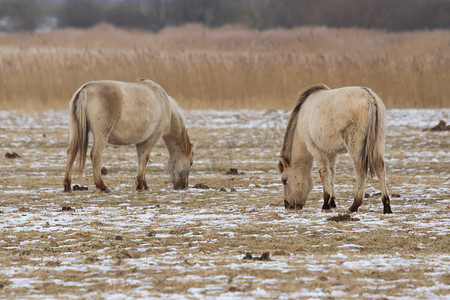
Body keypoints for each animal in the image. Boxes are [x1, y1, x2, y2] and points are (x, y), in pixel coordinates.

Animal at [62, 78, 192, 193]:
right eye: (191, 163)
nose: (183, 186)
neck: (164, 105)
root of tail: (85, 89)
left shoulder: (140, 142)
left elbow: (141, 159)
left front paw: (142, 184)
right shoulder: (152, 138)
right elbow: (145, 158)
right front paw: (142, 184)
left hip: (75, 130)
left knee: (71, 152)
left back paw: (67, 185)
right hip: (102, 134)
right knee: (95, 155)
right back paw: (102, 186)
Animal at [280, 84, 392, 214]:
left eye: (284, 180)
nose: (287, 205)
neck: (303, 117)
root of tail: (370, 97)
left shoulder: (317, 150)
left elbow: (323, 173)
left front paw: (325, 203)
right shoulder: (331, 153)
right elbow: (332, 173)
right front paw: (332, 202)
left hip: (355, 145)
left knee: (360, 171)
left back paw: (355, 205)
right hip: (378, 143)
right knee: (380, 168)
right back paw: (386, 206)